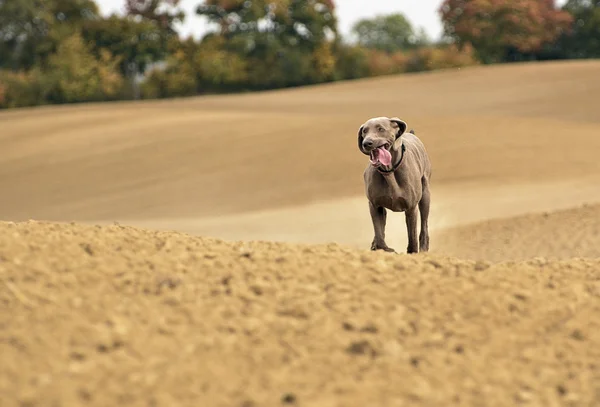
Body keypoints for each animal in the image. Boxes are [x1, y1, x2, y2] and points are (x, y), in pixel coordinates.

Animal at [356, 115, 432, 255]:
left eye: (381, 129)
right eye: (364, 131)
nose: (366, 143)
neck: (389, 172)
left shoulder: (411, 208)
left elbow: (412, 237)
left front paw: (412, 253)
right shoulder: (374, 205)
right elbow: (379, 235)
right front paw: (386, 249)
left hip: (425, 196)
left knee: (424, 225)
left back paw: (424, 248)